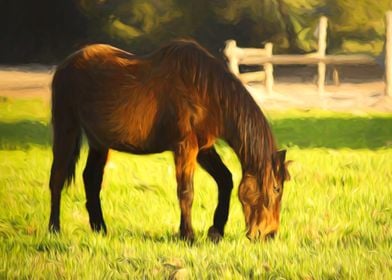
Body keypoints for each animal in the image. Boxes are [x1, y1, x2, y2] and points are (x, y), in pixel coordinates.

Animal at [47, 38, 290, 242]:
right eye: (276, 188)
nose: (269, 234)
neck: (206, 91)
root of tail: (64, 65)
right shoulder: (185, 147)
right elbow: (186, 191)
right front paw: (188, 235)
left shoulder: (203, 148)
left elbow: (225, 180)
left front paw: (216, 231)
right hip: (66, 128)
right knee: (57, 178)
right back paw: (54, 229)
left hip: (100, 142)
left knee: (91, 178)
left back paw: (100, 229)